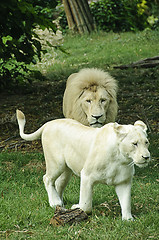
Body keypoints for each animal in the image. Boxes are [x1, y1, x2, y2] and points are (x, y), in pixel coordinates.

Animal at [16, 109, 151, 220]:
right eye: (134, 143)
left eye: (146, 142)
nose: (146, 157)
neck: (121, 159)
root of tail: (48, 124)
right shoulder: (87, 175)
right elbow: (86, 204)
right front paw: (77, 207)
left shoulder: (123, 181)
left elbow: (126, 202)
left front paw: (128, 220)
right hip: (56, 163)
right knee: (47, 178)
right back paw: (55, 202)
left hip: (66, 171)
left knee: (58, 184)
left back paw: (60, 205)